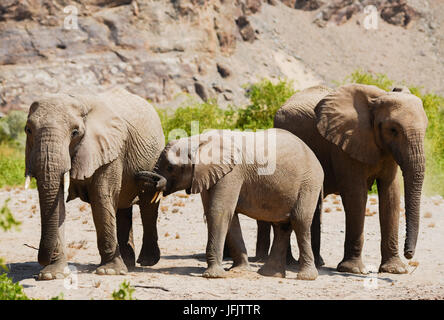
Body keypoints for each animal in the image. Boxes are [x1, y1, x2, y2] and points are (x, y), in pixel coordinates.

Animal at [23, 87, 165, 280]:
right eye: (28, 130)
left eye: (75, 133)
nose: (42, 260)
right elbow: (57, 204)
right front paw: (51, 275)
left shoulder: (110, 150)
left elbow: (101, 198)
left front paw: (109, 272)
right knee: (122, 207)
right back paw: (128, 263)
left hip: (154, 157)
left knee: (148, 204)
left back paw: (147, 261)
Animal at [135, 129, 322, 278]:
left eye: (171, 168)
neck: (198, 141)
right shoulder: (208, 174)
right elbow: (229, 216)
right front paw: (238, 270)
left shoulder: (231, 173)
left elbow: (219, 211)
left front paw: (213, 276)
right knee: (282, 226)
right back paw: (269, 274)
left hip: (309, 183)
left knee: (300, 221)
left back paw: (305, 277)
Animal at [256, 84, 426, 274]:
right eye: (393, 130)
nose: (409, 254)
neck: (376, 99)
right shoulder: (344, 144)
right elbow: (356, 195)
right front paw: (353, 270)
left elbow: (391, 196)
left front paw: (395, 270)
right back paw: (290, 263)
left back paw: (316, 262)